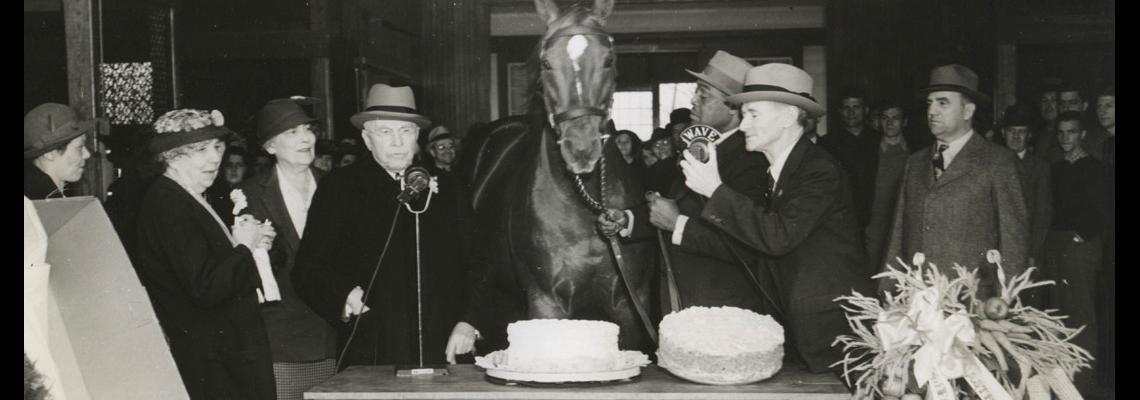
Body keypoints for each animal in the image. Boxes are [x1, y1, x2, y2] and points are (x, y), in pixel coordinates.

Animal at [462, 0, 661, 353]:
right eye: (545, 62)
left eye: (609, 59)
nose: (580, 149)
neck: (585, 206)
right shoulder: (547, 305)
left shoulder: (628, 305)